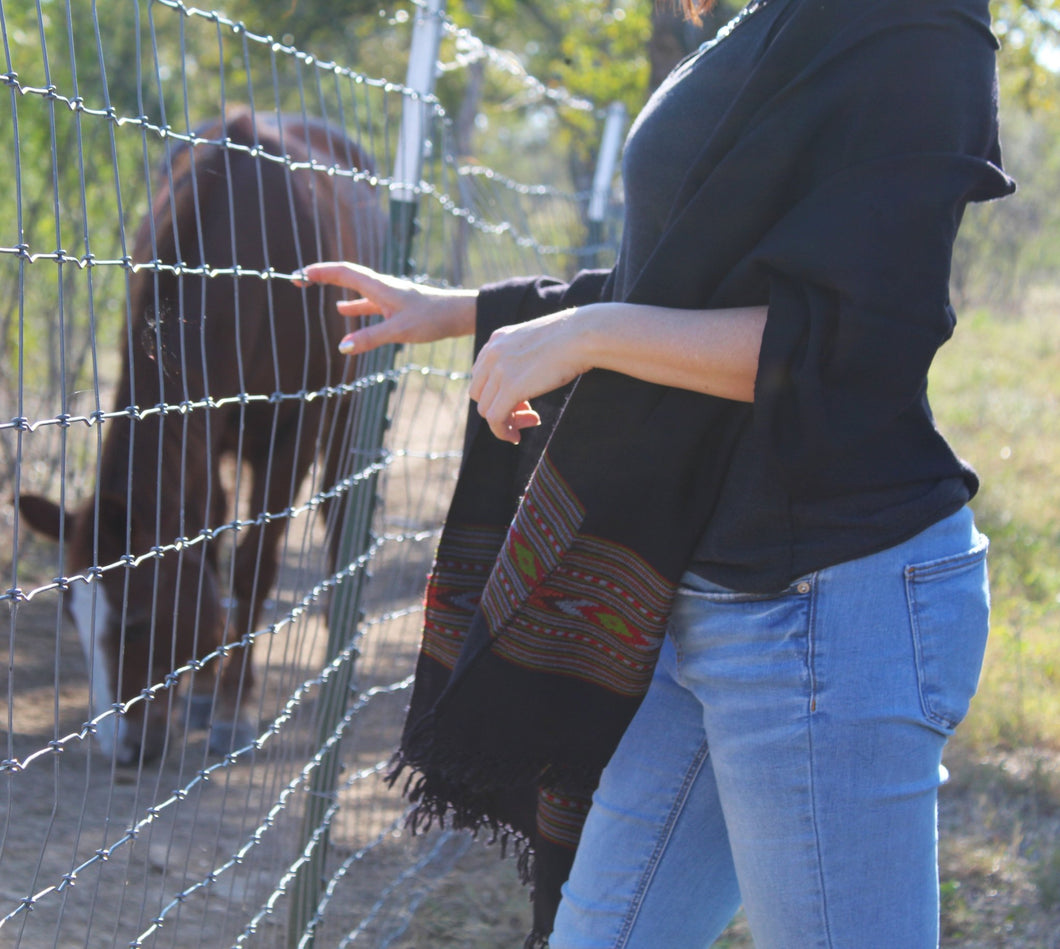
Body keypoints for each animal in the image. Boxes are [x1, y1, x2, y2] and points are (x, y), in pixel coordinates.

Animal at [18, 109, 385, 763]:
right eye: (72, 620)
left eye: (137, 620)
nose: (123, 748)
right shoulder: (202, 431)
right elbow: (207, 538)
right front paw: (207, 685)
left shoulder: (293, 432)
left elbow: (254, 564)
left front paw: (233, 705)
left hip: (348, 409)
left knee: (342, 509)